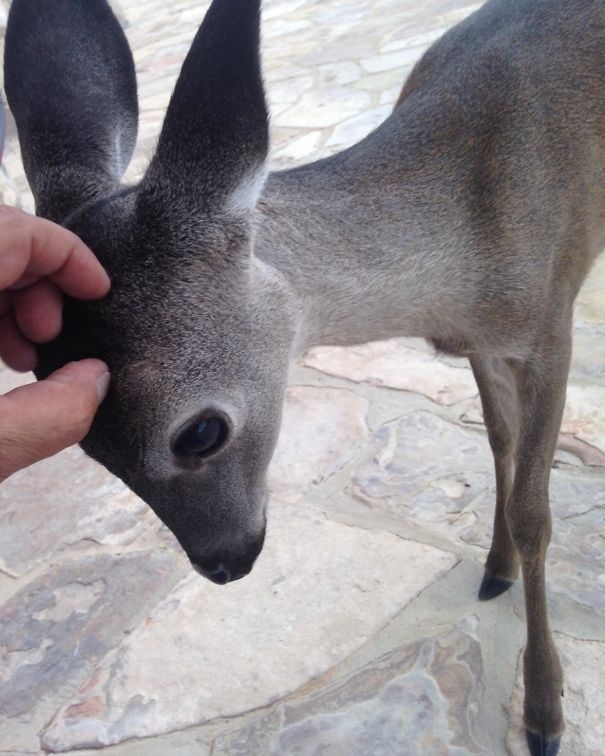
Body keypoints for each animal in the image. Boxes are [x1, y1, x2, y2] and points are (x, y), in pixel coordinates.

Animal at [4, 0, 604, 752]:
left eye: (199, 433)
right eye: (88, 447)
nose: (223, 563)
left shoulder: (551, 319)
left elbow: (534, 511)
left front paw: (545, 711)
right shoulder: (484, 343)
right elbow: (499, 444)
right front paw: (495, 570)